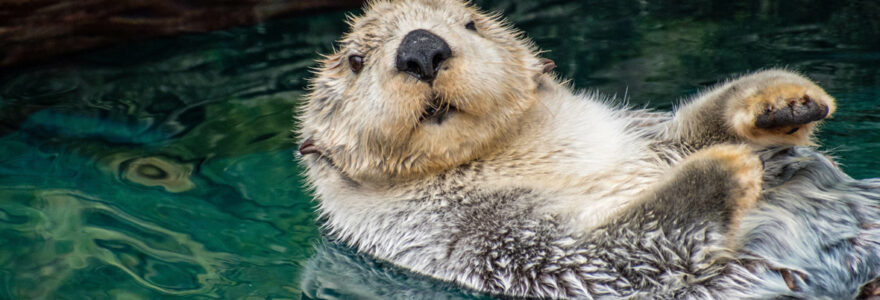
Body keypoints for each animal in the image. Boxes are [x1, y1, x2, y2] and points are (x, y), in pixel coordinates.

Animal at [298, 0, 880, 298]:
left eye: (470, 23)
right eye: (355, 60)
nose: (422, 48)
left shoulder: (645, 139)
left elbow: (691, 128)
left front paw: (782, 100)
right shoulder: (483, 240)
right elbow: (618, 253)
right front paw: (724, 167)